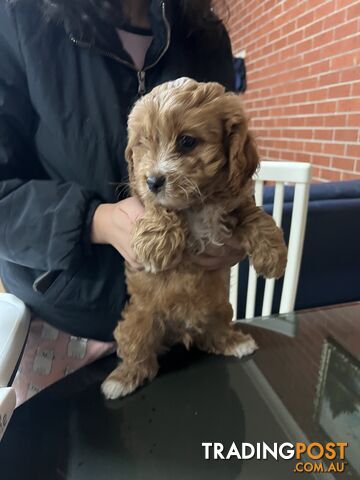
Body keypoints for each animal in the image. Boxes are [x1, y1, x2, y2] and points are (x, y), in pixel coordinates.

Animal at [101, 78, 286, 402]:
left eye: (187, 142)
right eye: (143, 143)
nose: (153, 181)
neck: (199, 202)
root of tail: (181, 331)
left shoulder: (235, 203)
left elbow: (255, 215)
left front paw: (273, 255)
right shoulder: (146, 196)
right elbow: (158, 207)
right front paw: (157, 243)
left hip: (220, 308)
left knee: (214, 334)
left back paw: (234, 342)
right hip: (138, 320)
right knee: (137, 351)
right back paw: (121, 380)